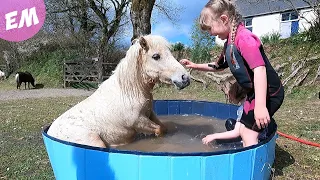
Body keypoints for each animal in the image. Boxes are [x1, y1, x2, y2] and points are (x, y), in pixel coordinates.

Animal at [47, 34, 190, 148]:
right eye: (156, 56)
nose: (185, 78)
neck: (129, 92)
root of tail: (50, 133)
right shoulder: (139, 122)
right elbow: (159, 130)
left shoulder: (150, 114)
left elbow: (163, 128)